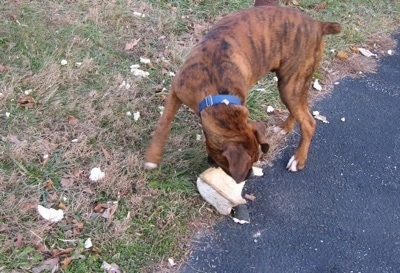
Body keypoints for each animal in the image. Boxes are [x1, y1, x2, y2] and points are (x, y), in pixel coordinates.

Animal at [144, 5, 340, 183]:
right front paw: (153, 157)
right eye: (226, 162)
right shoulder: (176, 91)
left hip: (291, 84)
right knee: (301, 113)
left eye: (255, 160)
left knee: (307, 121)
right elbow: (164, 123)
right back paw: (285, 129)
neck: (217, 91)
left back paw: (298, 158)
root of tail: (317, 24)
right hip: (292, 87)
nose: (249, 176)